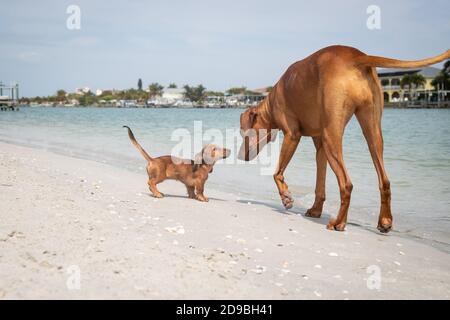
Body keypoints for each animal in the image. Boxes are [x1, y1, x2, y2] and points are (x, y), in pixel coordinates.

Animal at [237, 45, 448, 232]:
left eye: (243, 132)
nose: (239, 156)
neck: (271, 103)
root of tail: (356, 56)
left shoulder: (292, 135)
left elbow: (277, 173)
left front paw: (286, 198)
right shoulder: (320, 146)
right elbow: (319, 184)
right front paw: (316, 210)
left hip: (332, 137)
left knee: (346, 184)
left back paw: (339, 223)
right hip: (371, 133)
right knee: (384, 180)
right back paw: (385, 221)